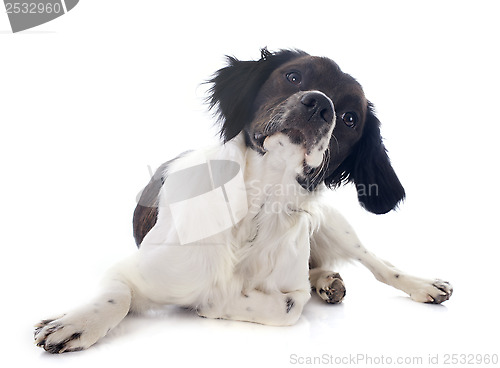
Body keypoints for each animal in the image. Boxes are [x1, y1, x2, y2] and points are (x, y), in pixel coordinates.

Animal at [35, 49, 454, 354]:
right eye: (293, 76)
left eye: (350, 117)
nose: (320, 105)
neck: (257, 208)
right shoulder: (131, 270)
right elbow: (114, 297)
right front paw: (76, 323)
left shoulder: (290, 291)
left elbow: (285, 305)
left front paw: (212, 303)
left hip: (336, 225)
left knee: (380, 265)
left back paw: (418, 285)